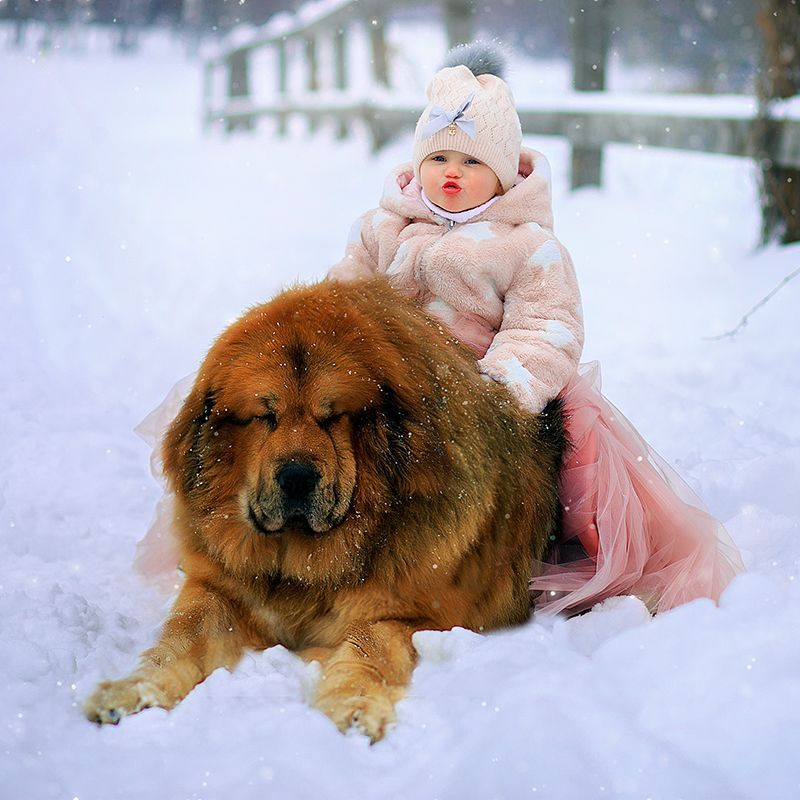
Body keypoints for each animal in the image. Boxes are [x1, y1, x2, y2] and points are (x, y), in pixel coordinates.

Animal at [84, 278, 564, 740]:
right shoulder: (216, 587)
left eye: (333, 417)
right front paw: (132, 691)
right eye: (266, 416)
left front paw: (353, 707)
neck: (303, 565)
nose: (297, 476)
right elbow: (181, 641)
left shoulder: (416, 615)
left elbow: (366, 646)